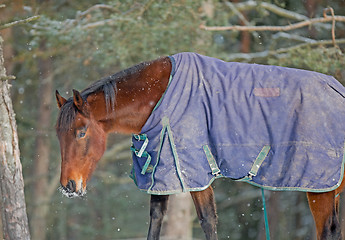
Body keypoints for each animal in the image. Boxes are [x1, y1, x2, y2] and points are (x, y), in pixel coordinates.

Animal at [55, 52, 344, 240]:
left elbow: (207, 221)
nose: (68, 186)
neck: (158, 96)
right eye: (58, 135)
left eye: (81, 133)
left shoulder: (194, 173)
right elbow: (156, 220)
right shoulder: (162, 170)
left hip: (321, 189)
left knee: (327, 230)